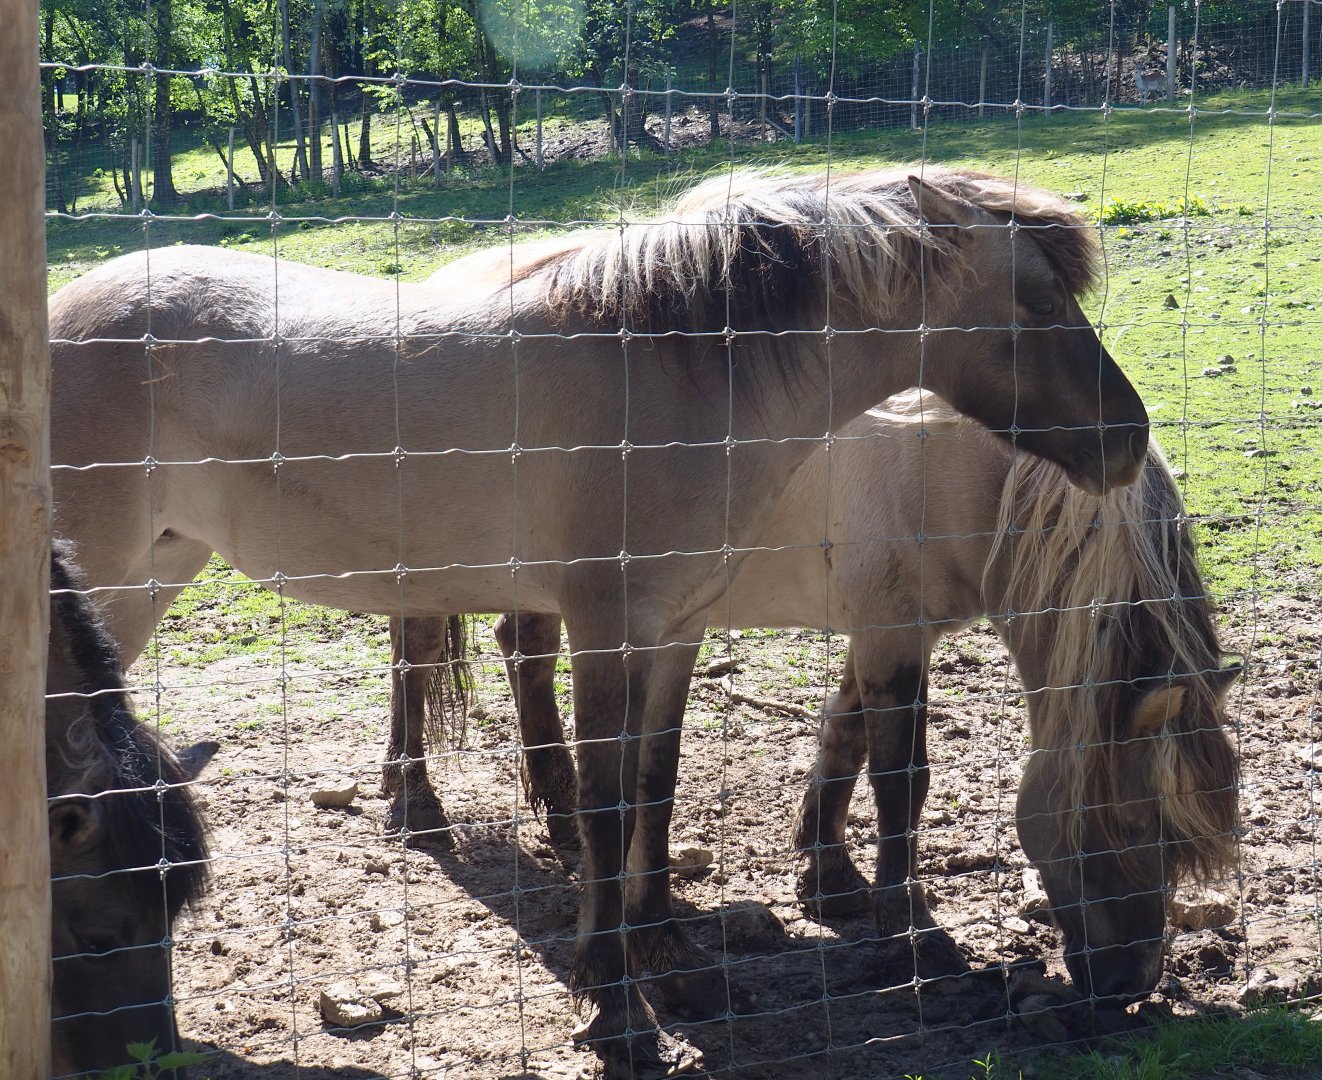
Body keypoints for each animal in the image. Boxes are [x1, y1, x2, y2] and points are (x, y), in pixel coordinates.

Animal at [396, 392, 1238, 1006]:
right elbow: (901, 780)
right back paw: (414, 800)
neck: (957, 463)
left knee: (524, 651)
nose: (1131, 983)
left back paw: (561, 810)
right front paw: (909, 936)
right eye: (1134, 821)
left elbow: (846, 733)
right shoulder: (889, 630)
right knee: (417, 653)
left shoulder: (893, 632)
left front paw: (827, 872)